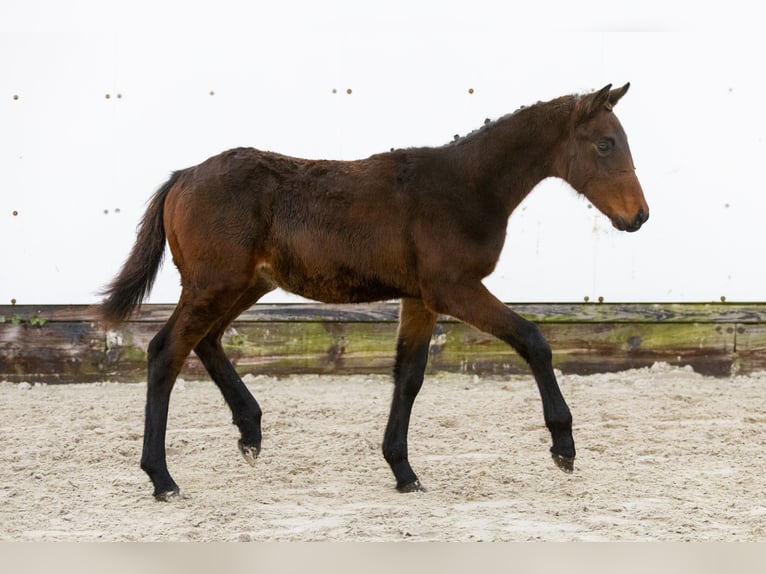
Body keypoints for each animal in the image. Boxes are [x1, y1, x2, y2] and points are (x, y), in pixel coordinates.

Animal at [100, 83, 648, 502]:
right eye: (604, 144)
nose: (639, 216)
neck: (465, 186)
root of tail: (183, 177)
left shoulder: (421, 298)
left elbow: (409, 377)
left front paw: (403, 471)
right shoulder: (454, 289)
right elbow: (533, 339)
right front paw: (563, 446)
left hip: (245, 282)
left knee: (207, 342)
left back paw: (250, 431)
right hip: (214, 283)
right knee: (167, 351)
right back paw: (162, 478)